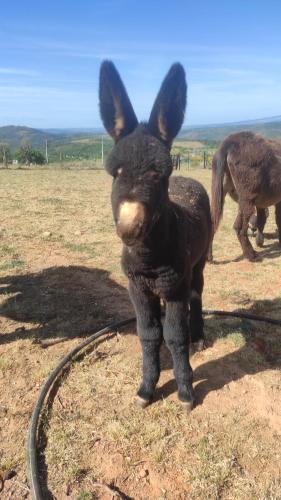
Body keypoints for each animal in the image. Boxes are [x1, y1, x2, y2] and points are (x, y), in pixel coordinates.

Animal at [98, 60, 210, 410]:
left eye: (159, 175)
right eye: (116, 173)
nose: (129, 228)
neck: (149, 258)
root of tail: (190, 178)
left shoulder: (175, 285)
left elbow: (174, 335)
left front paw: (185, 391)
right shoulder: (136, 286)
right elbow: (148, 333)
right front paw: (147, 388)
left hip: (198, 264)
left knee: (197, 295)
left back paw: (198, 337)